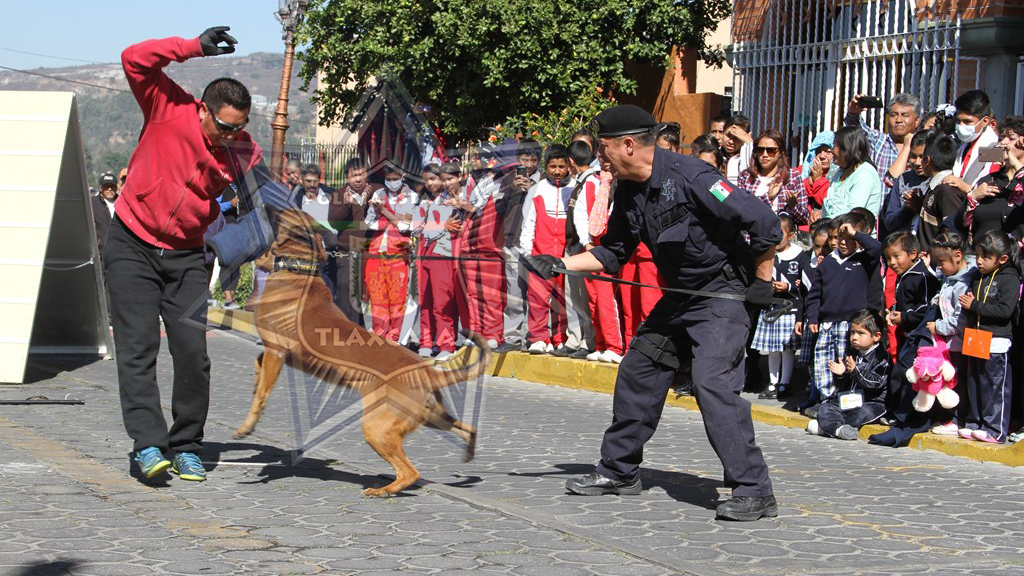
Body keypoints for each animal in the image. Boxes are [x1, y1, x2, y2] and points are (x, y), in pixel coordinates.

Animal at [234, 208, 489, 496]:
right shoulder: (273, 352)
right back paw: (466, 453)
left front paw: (247, 428)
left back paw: (383, 490)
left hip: (376, 427)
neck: (298, 268)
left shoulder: (275, 350)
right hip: (432, 416)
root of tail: (427, 371)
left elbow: (261, 396)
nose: (262, 206)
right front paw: (255, 383)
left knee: (410, 472)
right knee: (467, 430)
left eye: (284, 212)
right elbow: (258, 370)